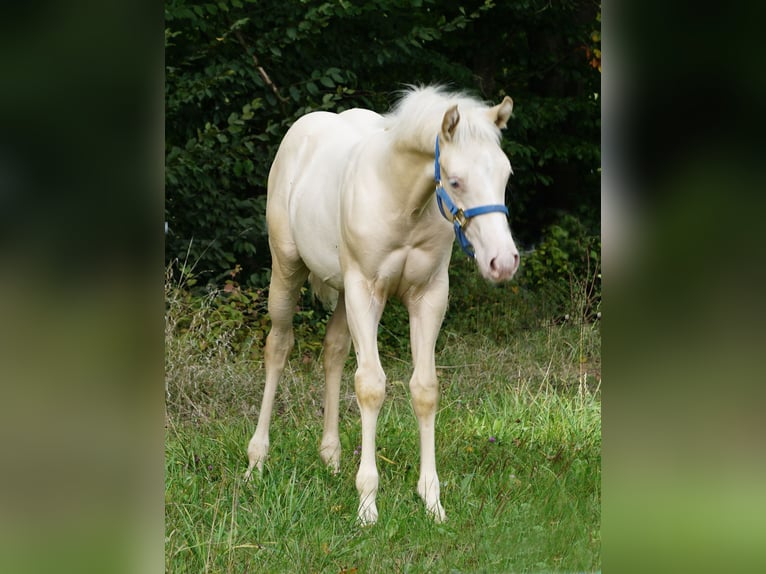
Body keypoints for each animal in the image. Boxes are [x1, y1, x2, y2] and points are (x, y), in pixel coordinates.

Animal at [246, 85, 520, 528]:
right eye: (456, 181)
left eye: (506, 175)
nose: (503, 261)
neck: (403, 200)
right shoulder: (366, 291)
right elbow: (371, 386)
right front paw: (367, 506)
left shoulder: (429, 296)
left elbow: (424, 389)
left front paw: (432, 501)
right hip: (287, 270)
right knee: (278, 348)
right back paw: (256, 462)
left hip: (342, 293)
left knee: (334, 350)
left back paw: (331, 459)